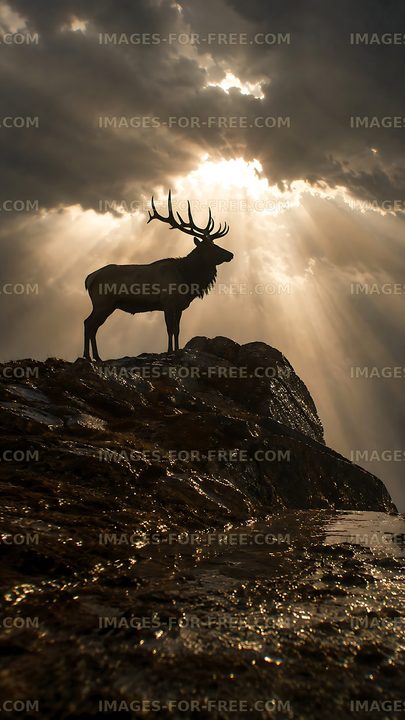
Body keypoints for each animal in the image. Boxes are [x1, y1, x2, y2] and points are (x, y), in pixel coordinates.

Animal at [83, 191, 233, 360]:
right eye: (210, 247)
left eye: (215, 244)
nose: (230, 254)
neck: (186, 279)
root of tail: (89, 278)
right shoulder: (168, 302)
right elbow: (169, 329)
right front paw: (169, 351)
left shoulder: (179, 306)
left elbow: (177, 329)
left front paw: (177, 350)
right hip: (102, 302)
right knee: (88, 323)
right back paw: (88, 356)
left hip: (107, 305)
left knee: (93, 326)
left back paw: (96, 357)